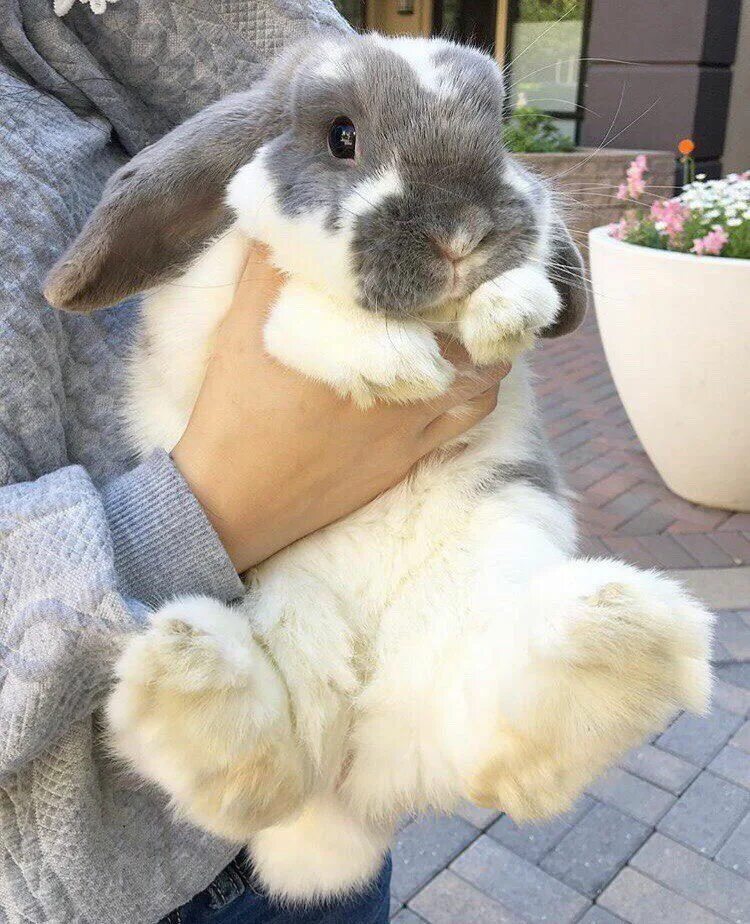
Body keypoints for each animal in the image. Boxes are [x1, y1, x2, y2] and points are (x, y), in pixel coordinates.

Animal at [47, 30, 716, 904]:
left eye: (497, 134)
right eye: (343, 137)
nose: (462, 232)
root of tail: (355, 790)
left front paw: (511, 307)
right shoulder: (208, 316)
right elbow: (297, 313)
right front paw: (387, 363)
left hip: (487, 583)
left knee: (493, 744)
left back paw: (615, 638)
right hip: (287, 640)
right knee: (265, 779)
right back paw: (188, 678)